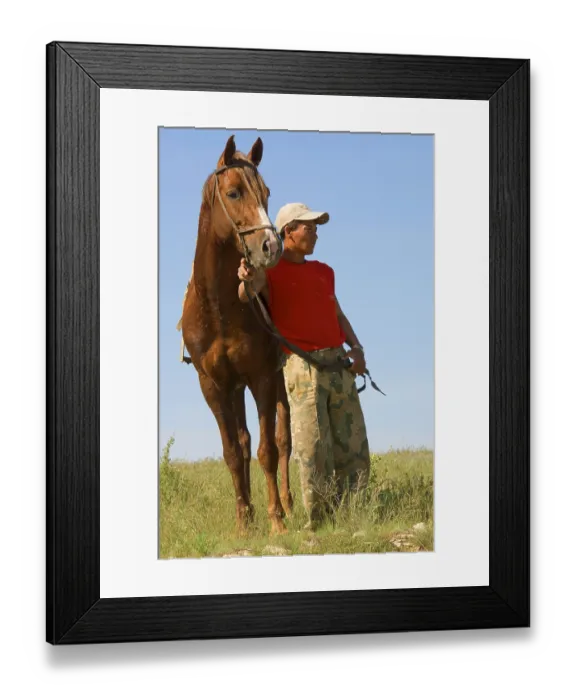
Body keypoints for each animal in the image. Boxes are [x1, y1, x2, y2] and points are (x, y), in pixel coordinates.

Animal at [177, 135, 294, 536]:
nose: (271, 247)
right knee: (243, 442)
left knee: (283, 439)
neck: (219, 307)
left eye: (266, 192)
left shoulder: (261, 376)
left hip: (277, 379)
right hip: (236, 387)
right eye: (233, 192)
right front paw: (245, 522)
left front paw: (276, 521)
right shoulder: (213, 385)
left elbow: (268, 450)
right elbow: (232, 451)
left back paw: (291, 507)